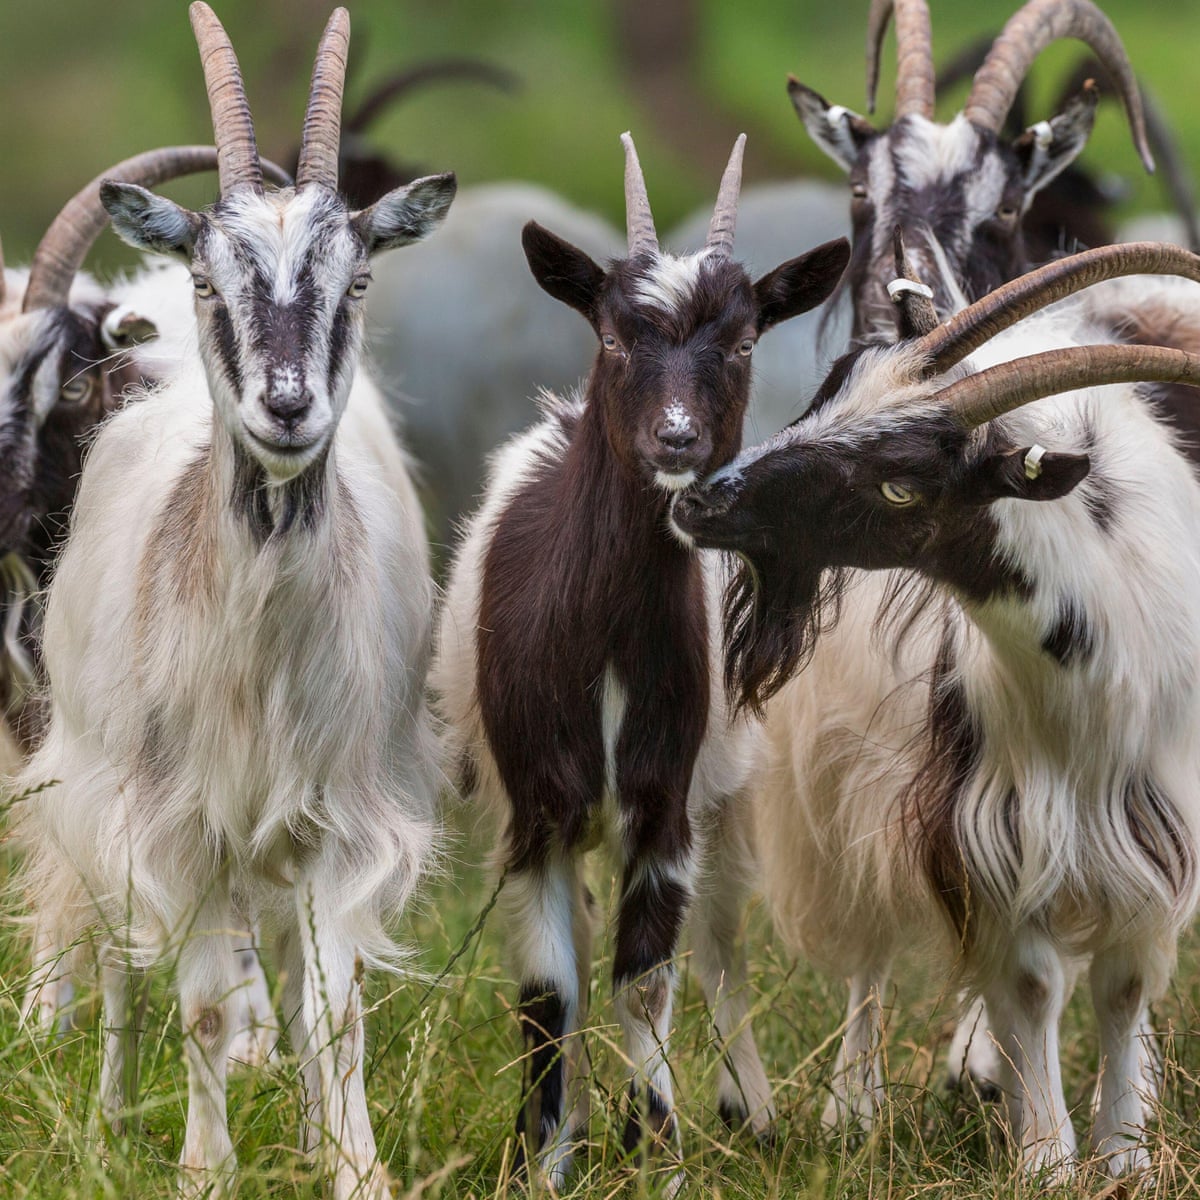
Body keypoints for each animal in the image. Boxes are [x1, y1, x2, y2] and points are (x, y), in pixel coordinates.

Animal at [14, 7, 450, 1197]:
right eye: (213, 282)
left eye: (357, 282)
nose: (287, 408)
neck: (257, 654)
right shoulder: (176, 821)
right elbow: (203, 1006)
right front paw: (204, 1170)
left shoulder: (338, 818)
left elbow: (333, 1013)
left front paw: (351, 1165)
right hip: (94, 781)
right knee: (123, 965)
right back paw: (110, 1118)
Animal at [432, 129, 849, 1189]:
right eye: (615, 338)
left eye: (743, 342)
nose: (676, 439)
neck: (606, 645)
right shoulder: (534, 808)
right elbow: (549, 993)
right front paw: (544, 1161)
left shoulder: (665, 800)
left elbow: (646, 982)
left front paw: (658, 1154)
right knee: (580, 948)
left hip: (723, 796)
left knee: (720, 944)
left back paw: (749, 1111)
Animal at [671, 242, 1200, 1178]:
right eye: (834, 385)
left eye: (901, 486)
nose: (703, 502)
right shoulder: (984, 818)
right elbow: (1031, 979)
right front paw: (1047, 1159)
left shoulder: (1153, 822)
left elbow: (1123, 982)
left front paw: (1125, 1151)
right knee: (859, 949)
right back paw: (851, 1101)